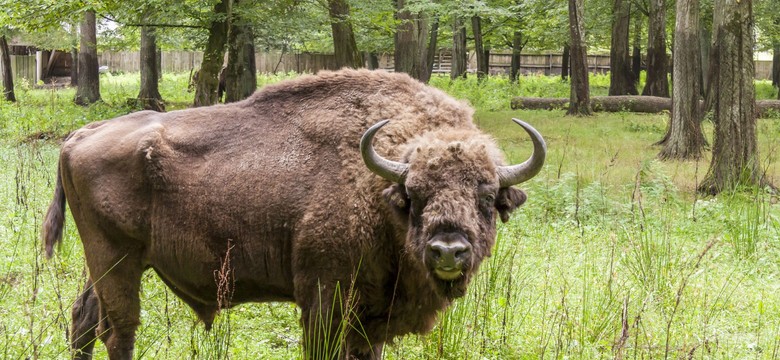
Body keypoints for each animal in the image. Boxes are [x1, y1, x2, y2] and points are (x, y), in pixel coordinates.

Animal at [42, 69, 544, 358]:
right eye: (413, 194)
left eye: (487, 197)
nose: (448, 251)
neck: (376, 188)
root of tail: (79, 134)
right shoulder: (324, 300)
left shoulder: (371, 319)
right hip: (117, 260)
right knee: (118, 331)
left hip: (109, 262)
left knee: (84, 319)